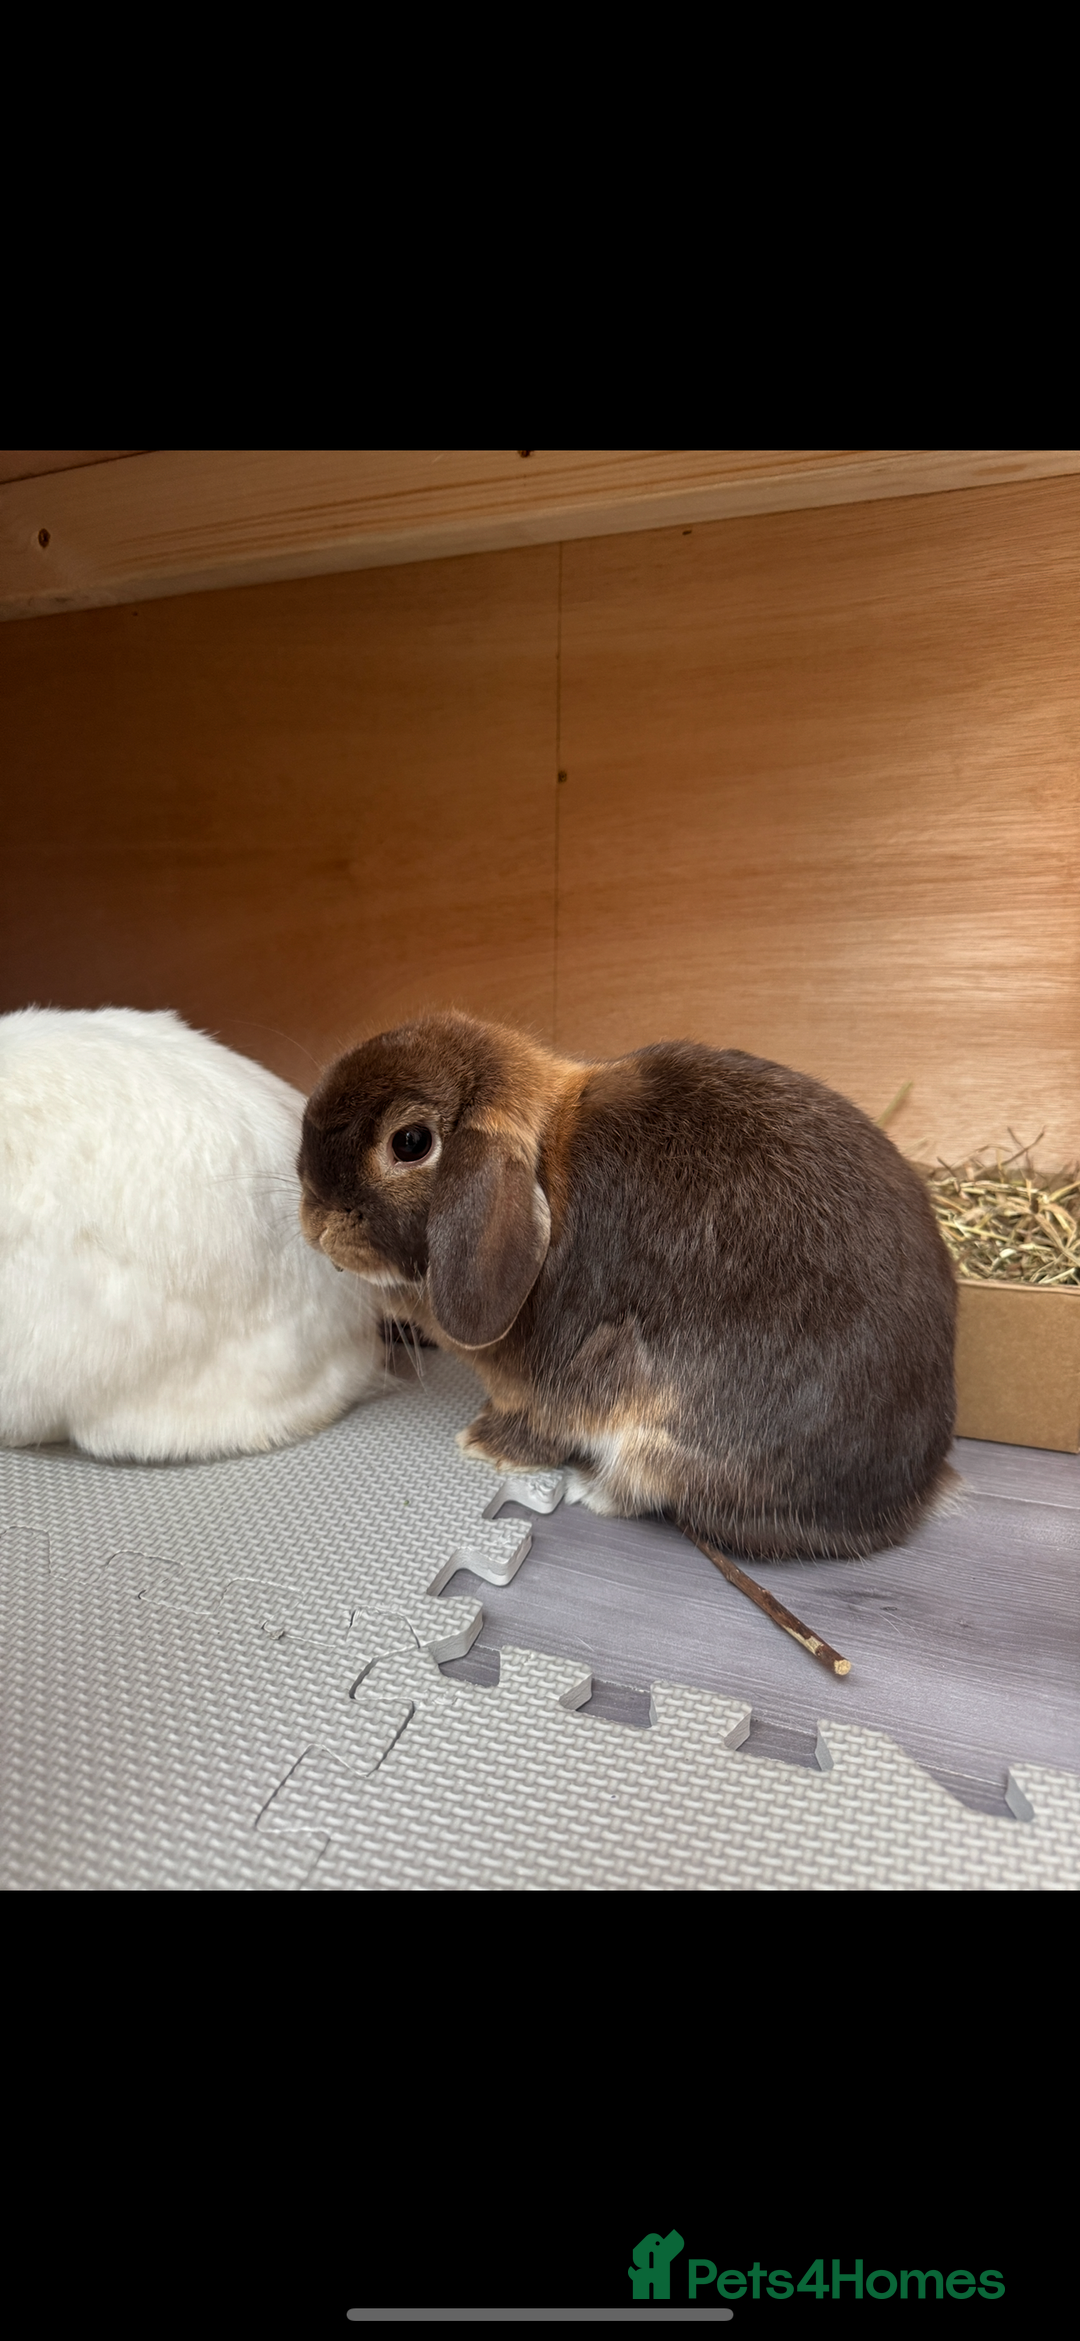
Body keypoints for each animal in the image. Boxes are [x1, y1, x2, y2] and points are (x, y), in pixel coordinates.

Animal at [297, 1009, 958, 1562]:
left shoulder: (552, 1390)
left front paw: (486, 1444)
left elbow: (541, 1427)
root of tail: (903, 1503)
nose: (314, 1219)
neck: (546, 1171)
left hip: (662, 1434)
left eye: (410, 1142)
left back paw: (590, 1489)